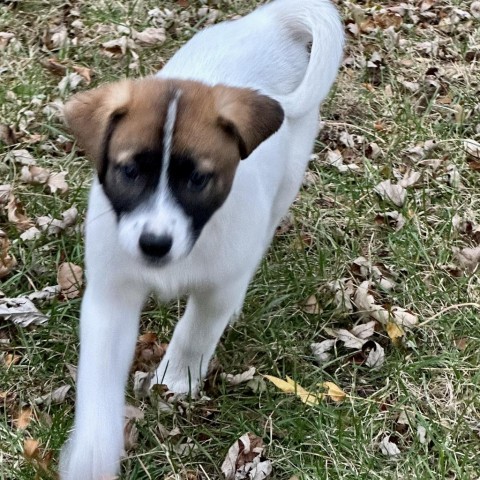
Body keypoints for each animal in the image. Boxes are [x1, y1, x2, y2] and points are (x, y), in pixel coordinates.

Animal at [60, 1, 344, 478]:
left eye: (197, 179)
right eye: (129, 171)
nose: (154, 244)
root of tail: (269, 23)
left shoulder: (215, 288)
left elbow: (195, 332)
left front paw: (175, 379)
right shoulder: (110, 295)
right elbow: (98, 383)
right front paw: (91, 456)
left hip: (285, 184)